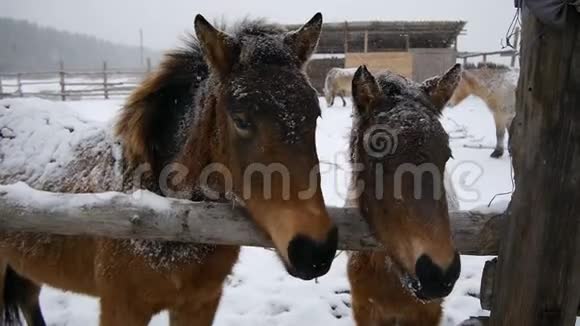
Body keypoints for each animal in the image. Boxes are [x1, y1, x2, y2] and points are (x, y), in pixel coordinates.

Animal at [0, 12, 338, 326]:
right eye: (241, 120)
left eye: (316, 114)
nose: (314, 251)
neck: (169, 217)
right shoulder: (121, 308)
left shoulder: (200, 303)